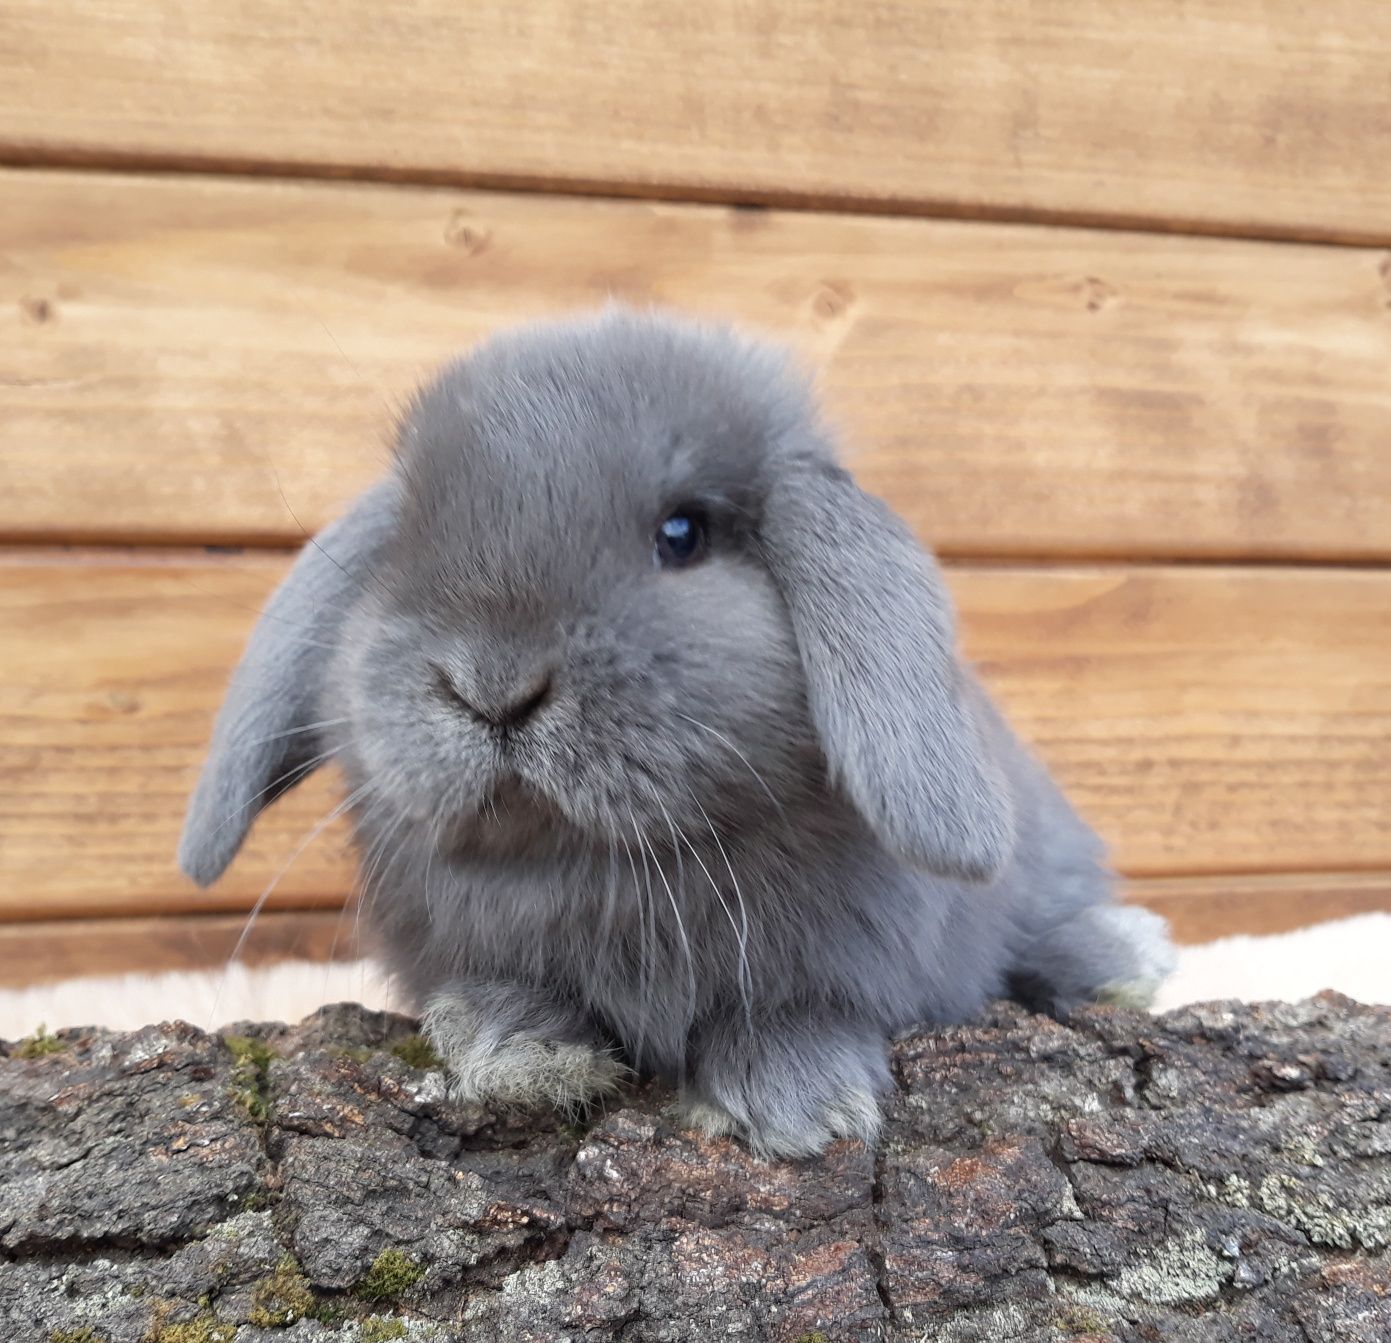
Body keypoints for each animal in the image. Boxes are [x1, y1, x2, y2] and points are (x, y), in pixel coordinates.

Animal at [176, 303, 1174, 1152]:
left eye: (684, 532)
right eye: (402, 545)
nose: (492, 684)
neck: (600, 866)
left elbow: (801, 1006)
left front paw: (798, 1103)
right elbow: (501, 997)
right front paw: (520, 1050)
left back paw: (1123, 957)